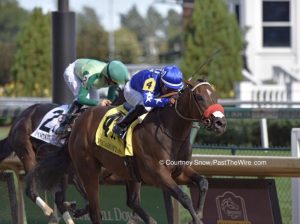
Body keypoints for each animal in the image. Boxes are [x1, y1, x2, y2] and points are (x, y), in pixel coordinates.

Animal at [31, 79, 227, 223]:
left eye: (216, 96)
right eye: (199, 97)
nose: (220, 123)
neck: (169, 130)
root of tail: (78, 122)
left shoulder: (180, 171)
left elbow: (203, 183)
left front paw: (198, 214)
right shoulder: (159, 175)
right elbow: (184, 198)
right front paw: (197, 219)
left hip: (130, 173)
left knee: (132, 201)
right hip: (88, 169)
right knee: (95, 210)